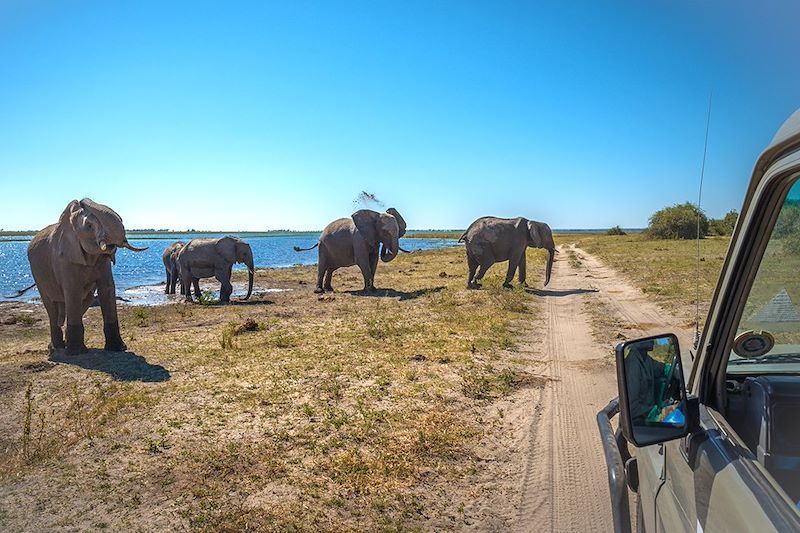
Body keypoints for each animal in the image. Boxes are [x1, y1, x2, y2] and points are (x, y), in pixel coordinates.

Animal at [25, 197, 148, 356]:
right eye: (89, 226)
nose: (81, 201)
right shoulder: (64, 259)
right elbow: (73, 291)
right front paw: (77, 353)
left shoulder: (102, 261)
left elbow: (107, 288)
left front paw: (119, 349)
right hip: (37, 275)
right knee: (51, 307)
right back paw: (56, 348)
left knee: (84, 300)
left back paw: (62, 344)